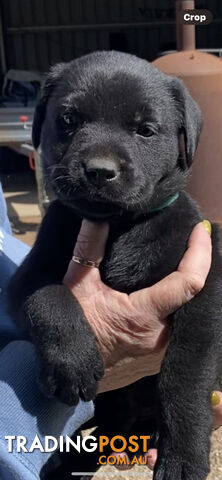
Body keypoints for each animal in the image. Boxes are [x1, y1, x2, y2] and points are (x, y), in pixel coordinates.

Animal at [7, 50, 221, 478]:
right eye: (69, 120)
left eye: (145, 130)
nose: (100, 171)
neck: (120, 226)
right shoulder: (26, 276)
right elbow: (48, 297)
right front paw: (73, 361)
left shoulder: (203, 294)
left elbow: (185, 376)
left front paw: (183, 457)